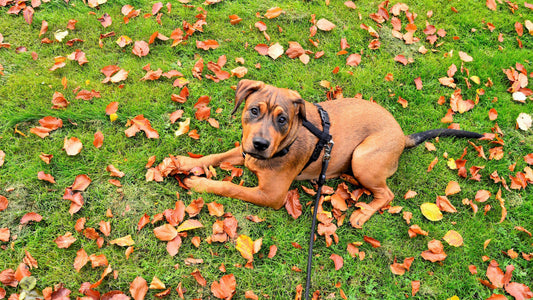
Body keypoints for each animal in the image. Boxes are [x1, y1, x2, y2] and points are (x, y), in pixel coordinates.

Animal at [176, 79, 482, 227]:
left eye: (282, 119)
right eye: (253, 110)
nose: (261, 144)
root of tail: (401, 135)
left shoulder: (271, 195)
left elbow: (231, 188)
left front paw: (199, 182)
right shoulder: (244, 151)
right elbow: (215, 157)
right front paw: (183, 161)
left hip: (363, 158)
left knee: (387, 194)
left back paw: (362, 214)